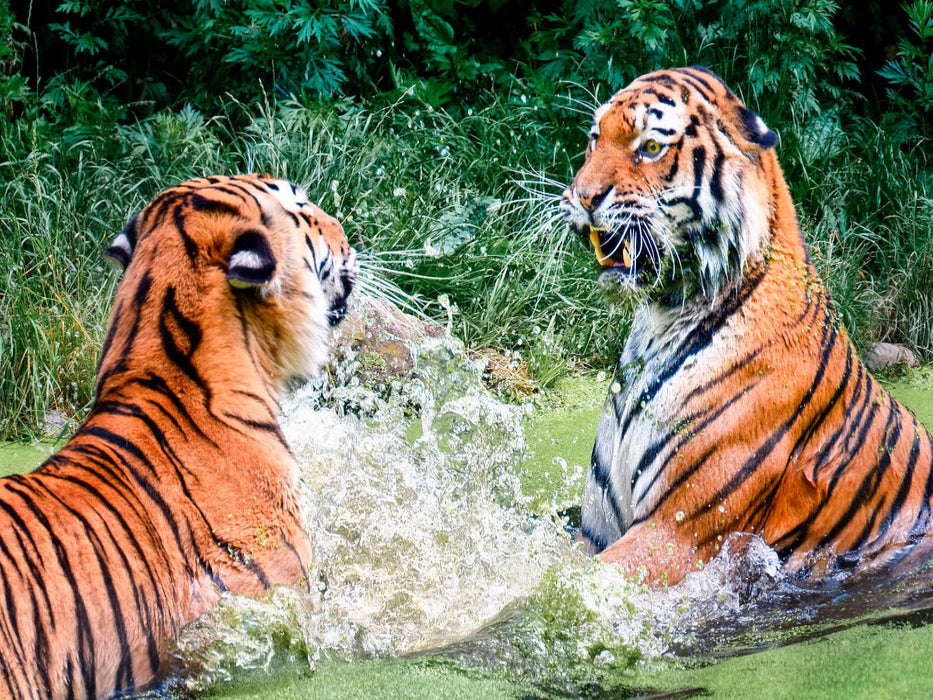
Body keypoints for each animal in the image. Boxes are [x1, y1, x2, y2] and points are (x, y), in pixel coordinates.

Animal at [561, 66, 933, 587]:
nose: (583, 197)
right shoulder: (595, 531)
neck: (660, 319)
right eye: (595, 140)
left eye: (650, 147)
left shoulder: (674, 535)